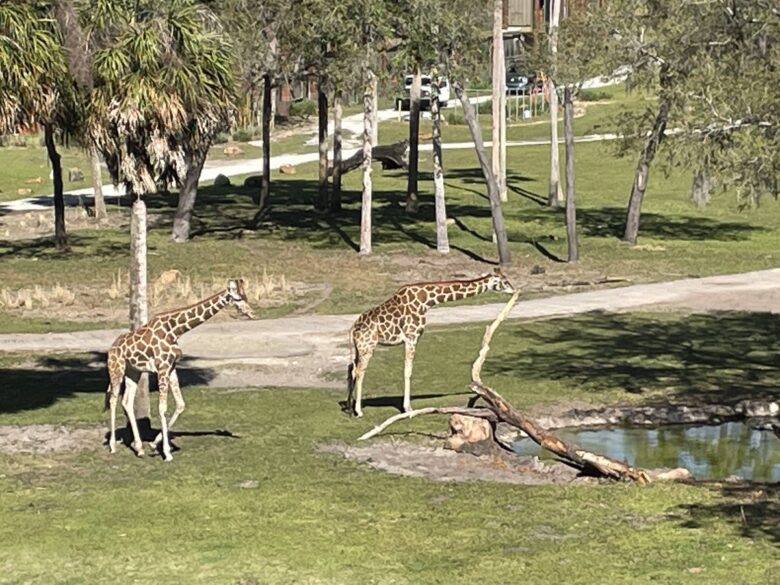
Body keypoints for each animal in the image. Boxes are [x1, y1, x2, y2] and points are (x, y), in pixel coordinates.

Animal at [103, 278, 254, 460]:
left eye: (246, 296)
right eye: (238, 298)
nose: (252, 313)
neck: (175, 330)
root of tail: (111, 348)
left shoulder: (171, 367)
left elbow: (180, 404)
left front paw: (154, 444)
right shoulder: (162, 367)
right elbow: (162, 408)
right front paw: (167, 453)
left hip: (134, 372)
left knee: (126, 401)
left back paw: (139, 448)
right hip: (116, 369)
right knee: (113, 399)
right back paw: (112, 446)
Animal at [346, 266, 516, 418]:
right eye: (505, 281)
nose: (514, 290)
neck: (426, 301)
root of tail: (353, 329)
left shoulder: (411, 338)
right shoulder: (411, 337)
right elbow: (408, 371)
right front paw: (408, 408)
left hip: (359, 348)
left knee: (352, 369)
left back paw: (349, 408)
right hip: (368, 347)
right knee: (360, 371)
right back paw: (359, 411)